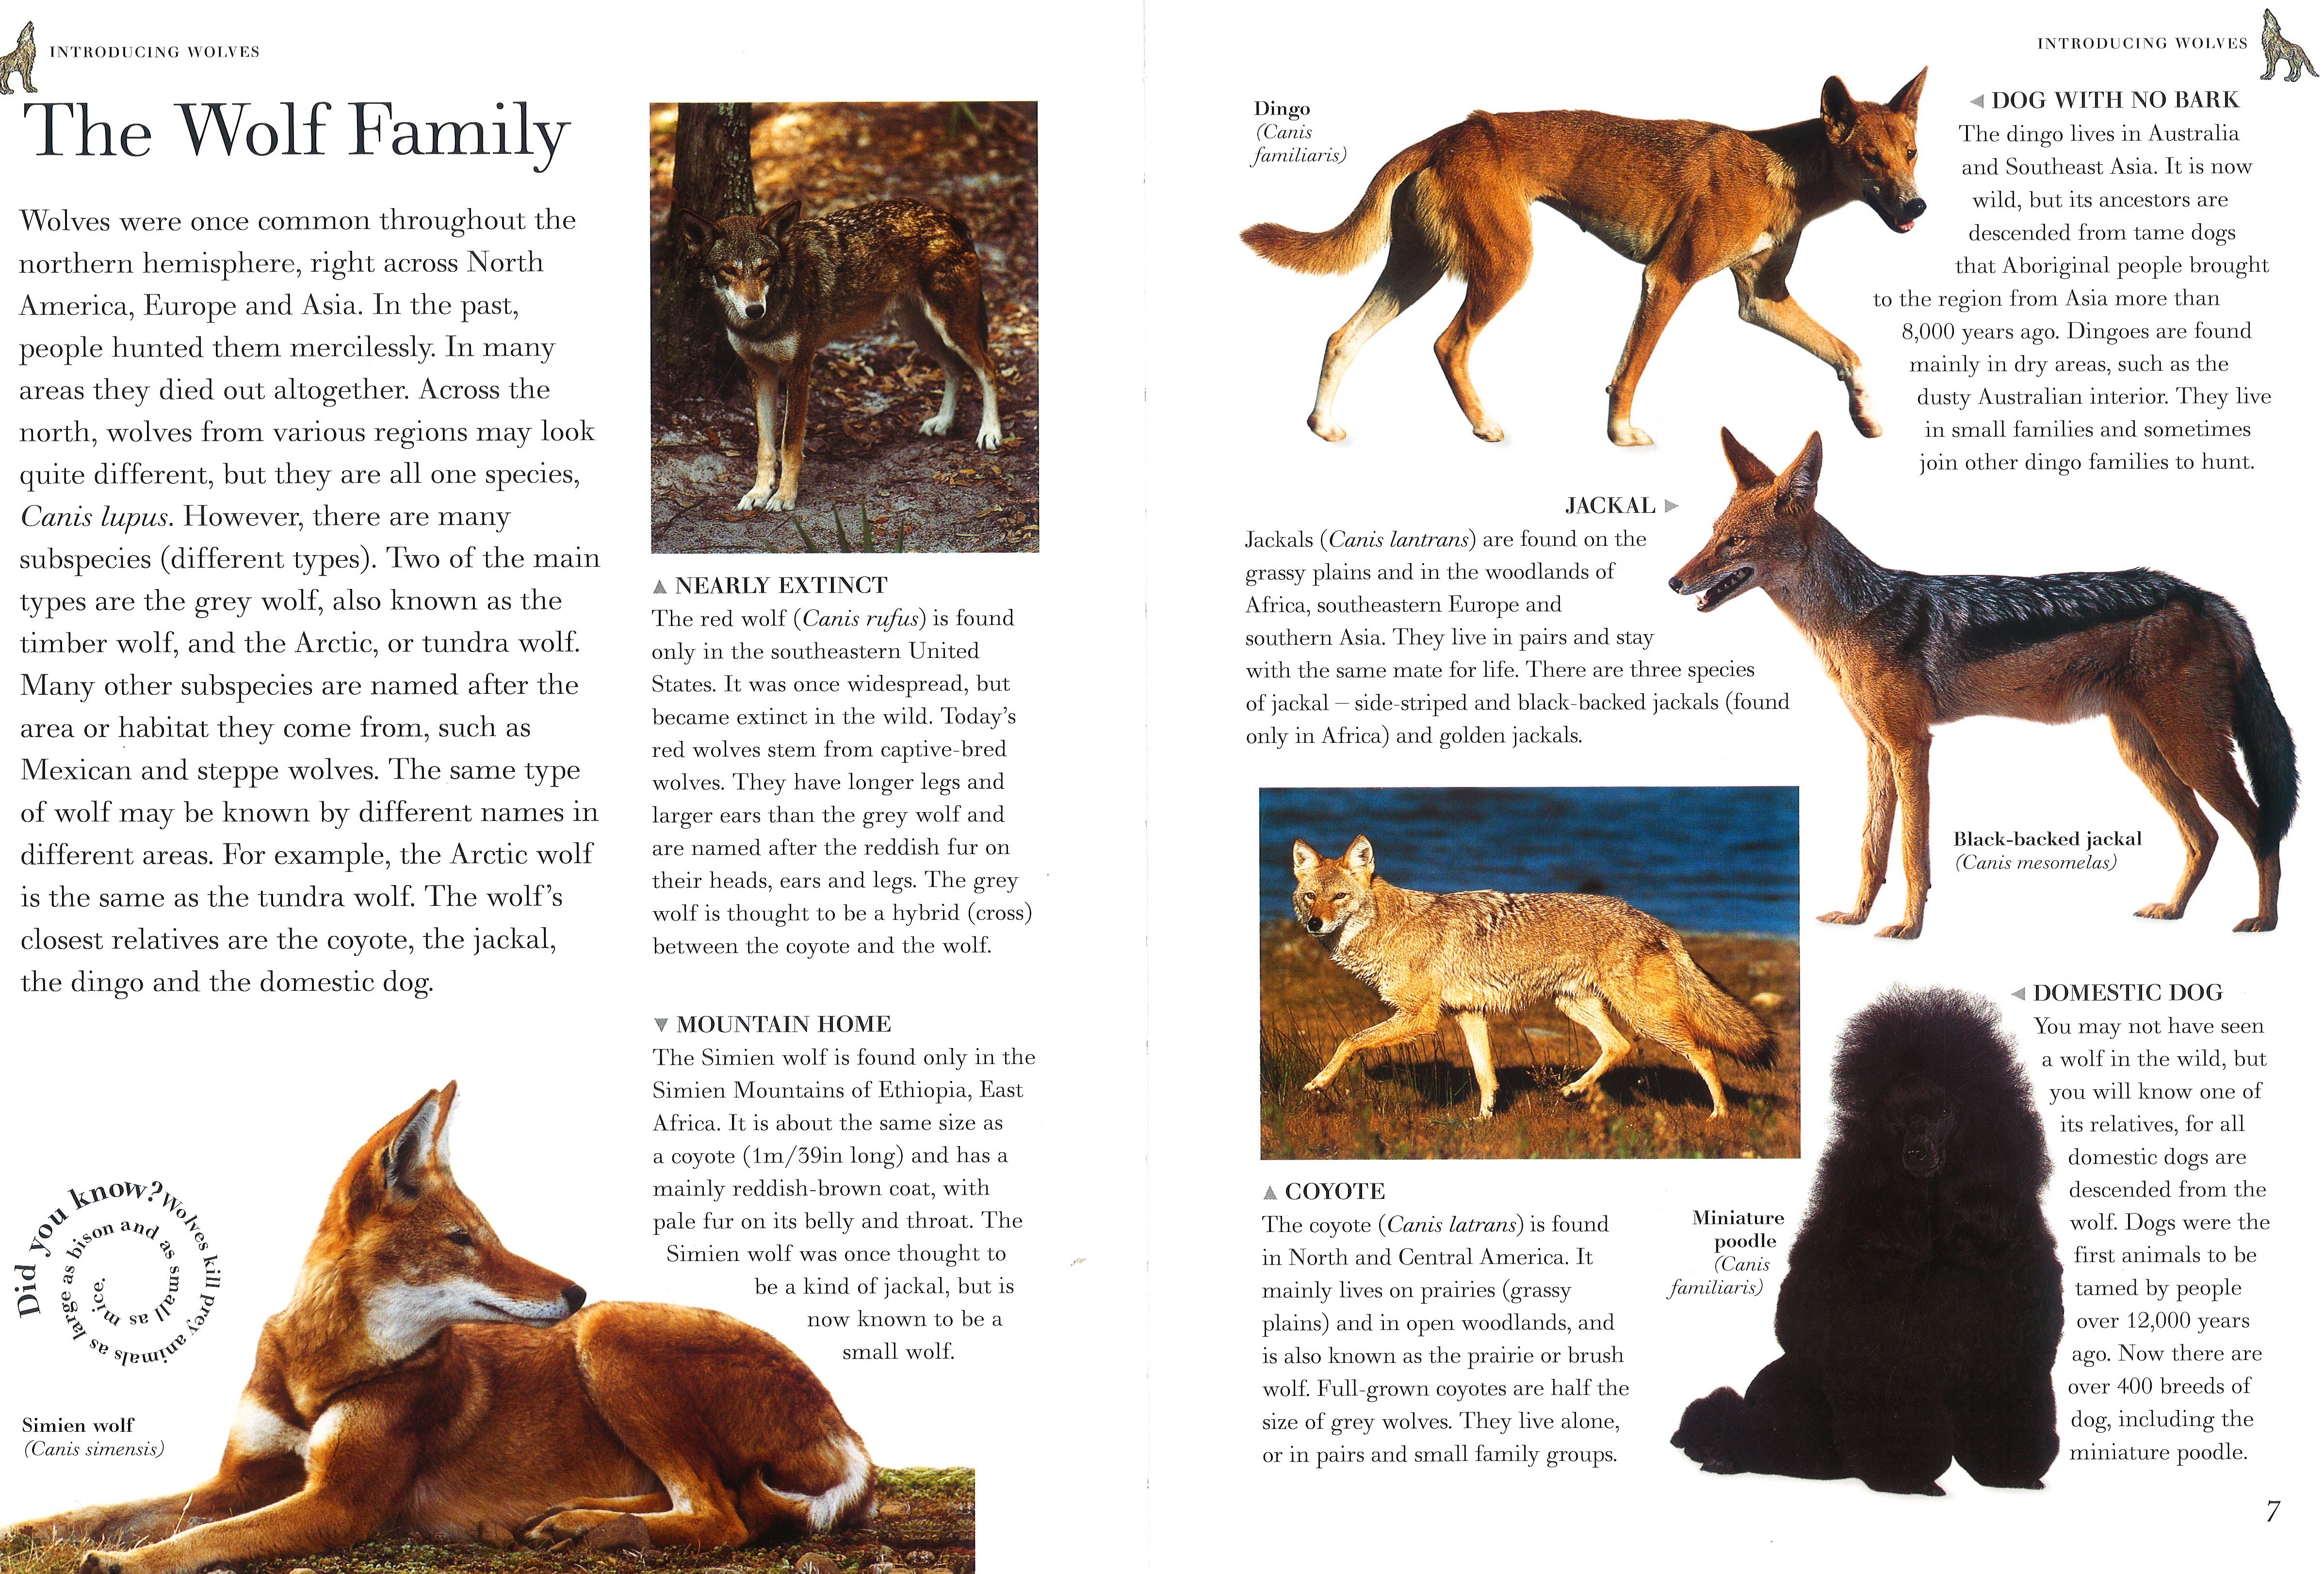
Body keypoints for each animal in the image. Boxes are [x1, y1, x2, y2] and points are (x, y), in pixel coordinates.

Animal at [11, 1085, 874, 1574]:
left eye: (489, 1235)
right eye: (465, 1240)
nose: (576, 1288)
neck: (319, 1374)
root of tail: (848, 1430)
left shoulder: (338, 1503)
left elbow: (195, 1542)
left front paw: (123, 1564)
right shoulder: (241, 1479)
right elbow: (98, 1509)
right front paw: (26, 1530)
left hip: (607, 1336)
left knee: (721, 1518)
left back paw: (589, 1528)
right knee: (699, 1503)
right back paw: (554, 1519)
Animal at [679, 199, 1003, 513]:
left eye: (764, 268)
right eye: (729, 270)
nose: (755, 310)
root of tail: (949, 216)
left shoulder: (799, 368)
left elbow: (790, 443)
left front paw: (784, 497)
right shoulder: (761, 372)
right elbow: (765, 447)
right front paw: (759, 492)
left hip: (951, 329)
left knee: (988, 368)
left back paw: (990, 431)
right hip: (920, 330)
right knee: (955, 370)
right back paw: (944, 422)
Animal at [1241, 71, 1925, 447]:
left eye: (1912, 152)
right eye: (1870, 157)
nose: (1919, 205)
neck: (1781, 173)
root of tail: (1452, 132)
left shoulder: (1763, 301)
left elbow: (1847, 353)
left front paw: (1865, 414)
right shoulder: (1667, 279)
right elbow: (1630, 371)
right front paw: (1621, 434)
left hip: (1418, 268)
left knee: (1342, 338)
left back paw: (1323, 425)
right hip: (1506, 266)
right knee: (1447, 344)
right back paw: (1484, 426)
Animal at [1289, 835, 1773, 1118]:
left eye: (1340, 897)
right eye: (1310, 897)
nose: (1314, 924)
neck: (1388, 928)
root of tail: (1656, 923)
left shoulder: (1421, 1018)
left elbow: (1349, 1041)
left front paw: (1317, 1083)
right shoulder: (1468, 1014)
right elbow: (1486, 1076)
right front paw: (1482, 1120)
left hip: (1647, 1018)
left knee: (1702, 1053)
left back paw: (1719, 1117)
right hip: (1575, 1006)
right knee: (1618, 1046)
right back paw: (1574, 1090)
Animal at [1670, 430, 2296, 937]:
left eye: (1734, 543)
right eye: (1713, 535)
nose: (1674, 581)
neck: (1852, 618)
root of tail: (2201, 594)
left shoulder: (1911, 746)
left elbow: (1912, 854)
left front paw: (1908, 928)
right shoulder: (1877, 747)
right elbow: (1871, 849)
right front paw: (1856, 917)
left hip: (2189, 751)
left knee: (2261, 830)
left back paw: (2264, 921)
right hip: (2144, 753)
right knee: (2206, 837)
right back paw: (2174, 911)